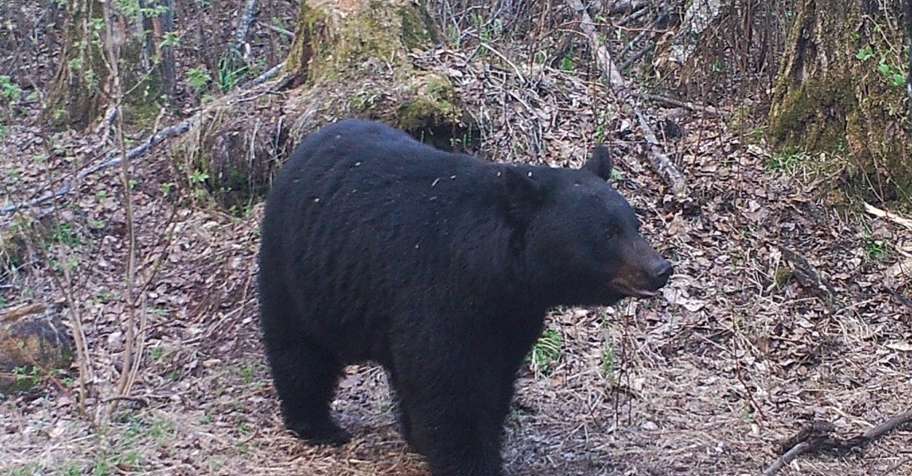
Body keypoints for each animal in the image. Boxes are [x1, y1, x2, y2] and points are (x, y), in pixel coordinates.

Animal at [258, 119, 672, 476]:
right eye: (608, 233)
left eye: (633, 223)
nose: (661, 268)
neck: (498, 273)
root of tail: (304, 148)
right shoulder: (438, 293)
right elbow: (452, 386)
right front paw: (472, 462)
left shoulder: (510, 316)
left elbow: (495, 380)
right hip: (296, 271)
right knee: (300, 351)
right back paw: (316, 425)